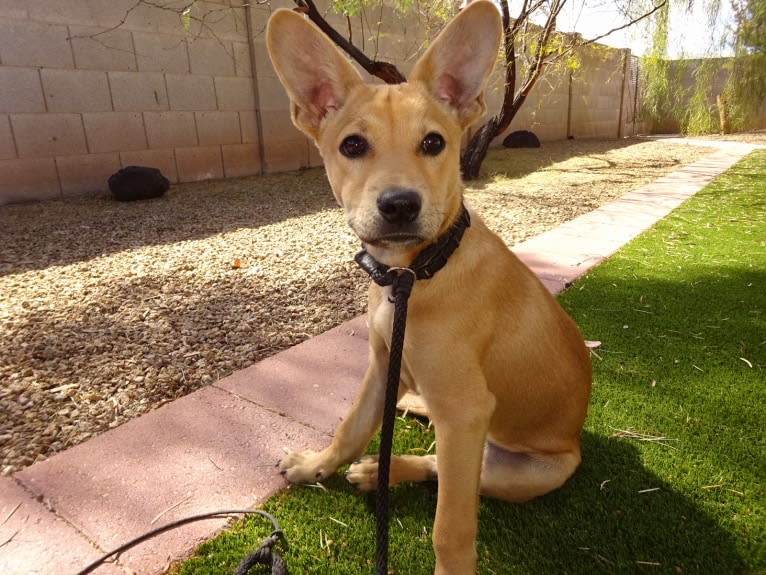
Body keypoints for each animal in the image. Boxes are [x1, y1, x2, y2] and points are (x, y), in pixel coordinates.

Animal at [268, 2, 592, 572]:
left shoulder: (465, 413)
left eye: (434, 143)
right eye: (353, 145)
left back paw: (389, 466)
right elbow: (350, 426)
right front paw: (316, 466)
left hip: (522, 469)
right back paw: (400, 430)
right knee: (432, 450)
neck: (412, 275)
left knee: (446, 470)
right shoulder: (382, 364)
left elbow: (451, 527)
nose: (399, 205)